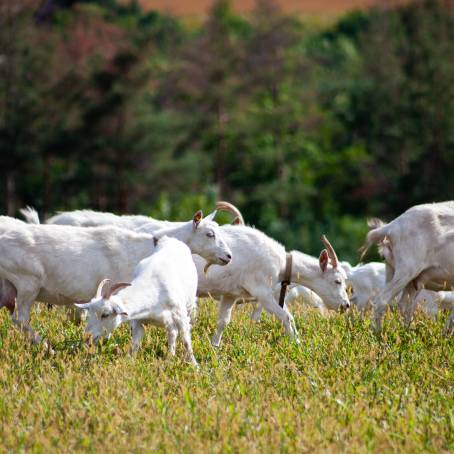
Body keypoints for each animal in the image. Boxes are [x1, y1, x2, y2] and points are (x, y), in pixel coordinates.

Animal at [0, 209, 232, 344]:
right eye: (209, 234)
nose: (228, 256)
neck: (146, 246)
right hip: (27, 283)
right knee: (20, 319)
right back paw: (46, 346)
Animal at [75, 236, 198, 364]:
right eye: (89, 314)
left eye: (105, 314)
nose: (87, 337)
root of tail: (171, 239)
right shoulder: (138, 321)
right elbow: (135, 344)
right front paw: (130, 362)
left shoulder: (181, 316)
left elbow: (186, 340)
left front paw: (194, 364)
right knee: (172, 332)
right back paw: (170, 357)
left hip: (189, 306)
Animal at [360, 200, 454, 332]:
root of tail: (391, 227)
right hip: (407, 270)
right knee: (382, 300)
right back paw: (378, 334)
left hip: (402, 275)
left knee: (404, 305)